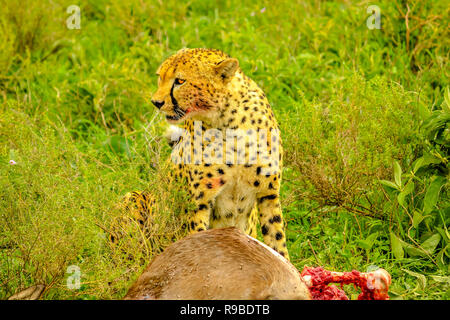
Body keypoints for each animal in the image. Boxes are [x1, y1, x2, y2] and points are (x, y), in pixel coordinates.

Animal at [118, 48, 288, 258]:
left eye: (180, 81)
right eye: (160, 77)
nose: (156, 102)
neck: (227, 118)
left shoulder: (268, 194)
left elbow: (277, 242)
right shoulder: (199, 202)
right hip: (133, 199)